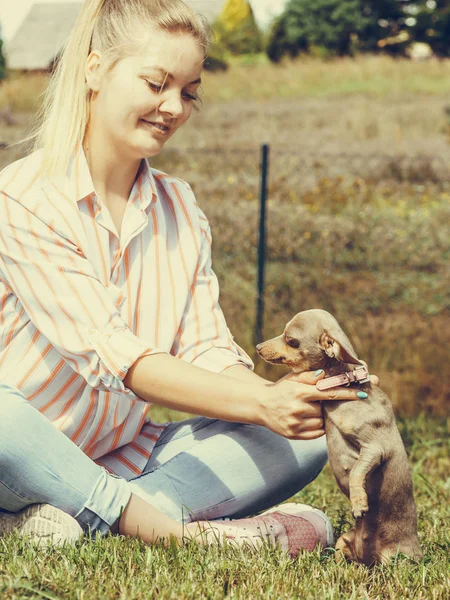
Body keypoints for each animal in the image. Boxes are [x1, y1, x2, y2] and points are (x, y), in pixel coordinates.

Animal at [256, 312, 422, 564]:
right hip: (345, 541)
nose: (257, 347)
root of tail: (368, 559)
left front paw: (359, 502)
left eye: (291, 340)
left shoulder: (375, 449)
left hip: (396, 559)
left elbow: (355, 472)